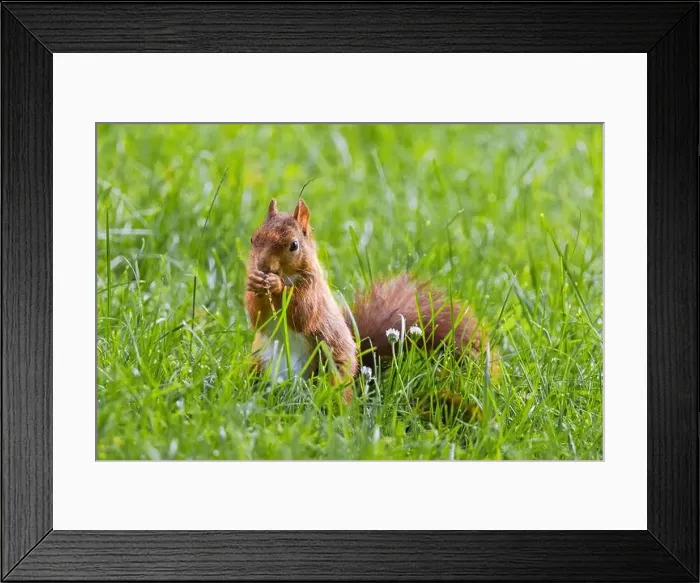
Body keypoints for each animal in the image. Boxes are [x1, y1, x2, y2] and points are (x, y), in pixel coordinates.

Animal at [245, 198, 491, 408]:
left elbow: (301, 314)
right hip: (258, 364)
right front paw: (255, 281)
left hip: (330, 368)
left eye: (294, 245)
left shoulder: (313, 292)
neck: (289, 276)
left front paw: (276, 285)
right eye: (253, 239)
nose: (263, 266)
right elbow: (257, 318)